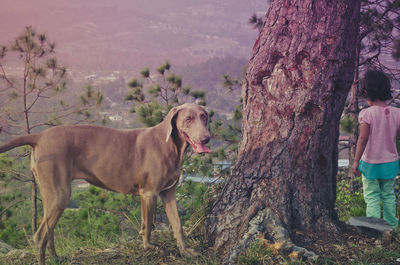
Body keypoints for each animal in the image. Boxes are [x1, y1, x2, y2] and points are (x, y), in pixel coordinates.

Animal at [0, 103, 211, 264]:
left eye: (204, 117)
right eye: (188, 119)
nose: (206, 138)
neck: (169, 145)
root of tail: (40, 136)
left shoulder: (168, 193)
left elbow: (177, 225)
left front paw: (185, 252)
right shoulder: (149, 193)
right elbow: (148, 224)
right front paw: (149, 247)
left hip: (51, 194)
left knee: (48, 230)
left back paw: (56, 258)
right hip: (60, 194)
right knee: (40, 235)